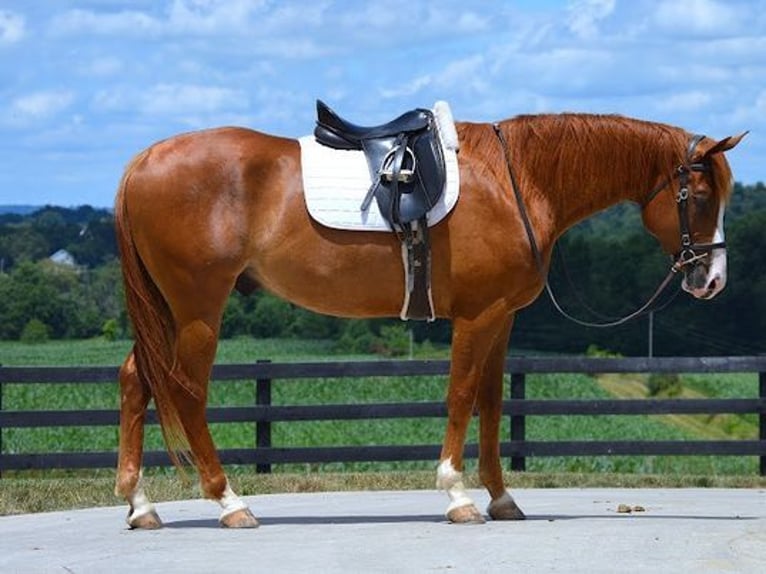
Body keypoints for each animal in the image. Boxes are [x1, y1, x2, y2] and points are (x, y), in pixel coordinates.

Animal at [111, 109, 748, 532]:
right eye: (697, 194)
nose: (712, 279)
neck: (516, 179)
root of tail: (143, 161)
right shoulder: (476, 315)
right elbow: (461, 395)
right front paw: (457, 495)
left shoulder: (501, 320)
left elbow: (492, 402)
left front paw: (502, 499)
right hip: (197, 310)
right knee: (186, 393)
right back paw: (230, 502)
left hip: (168, 311)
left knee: (135, 381)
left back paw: (141, 504)